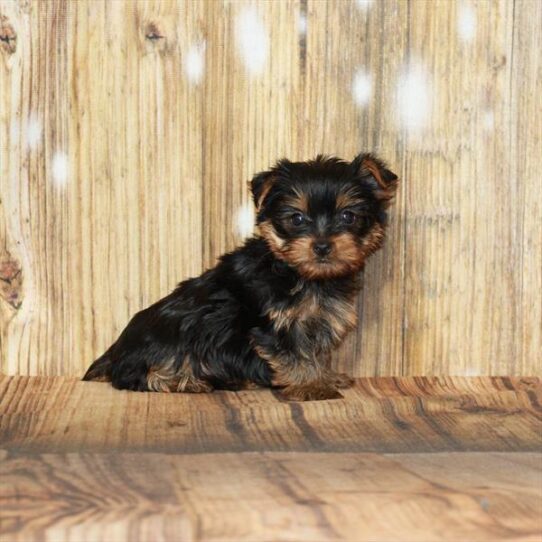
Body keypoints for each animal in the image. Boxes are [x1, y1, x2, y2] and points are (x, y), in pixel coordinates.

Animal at [85, 155, 400, 402]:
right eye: (296, 219)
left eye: (348, 216)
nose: (322, 246)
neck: (299, 273)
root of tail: (116, 352)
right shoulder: (275, 324)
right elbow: (295, 354)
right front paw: (310, 386)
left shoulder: (317, 319)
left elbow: (315, 351)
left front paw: (326, 375)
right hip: (173, 334)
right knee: (142, 374)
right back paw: (184, 380)